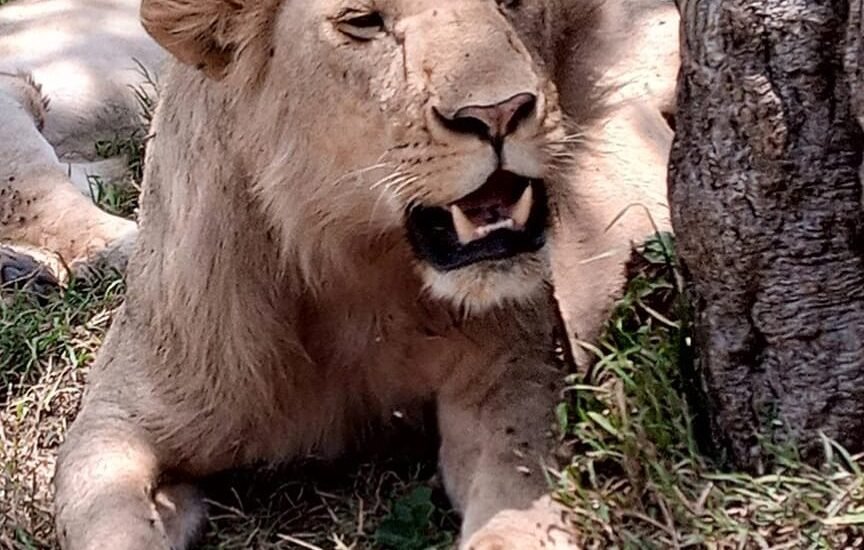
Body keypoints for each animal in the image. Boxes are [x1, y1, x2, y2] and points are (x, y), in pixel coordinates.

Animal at [52, 1, 660, 550]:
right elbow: (100, 514)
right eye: (363, 22)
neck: (349, 268)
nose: (498, 113)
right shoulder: (117, 416)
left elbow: (517, 495)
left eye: (513, 1)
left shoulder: (514, 373)